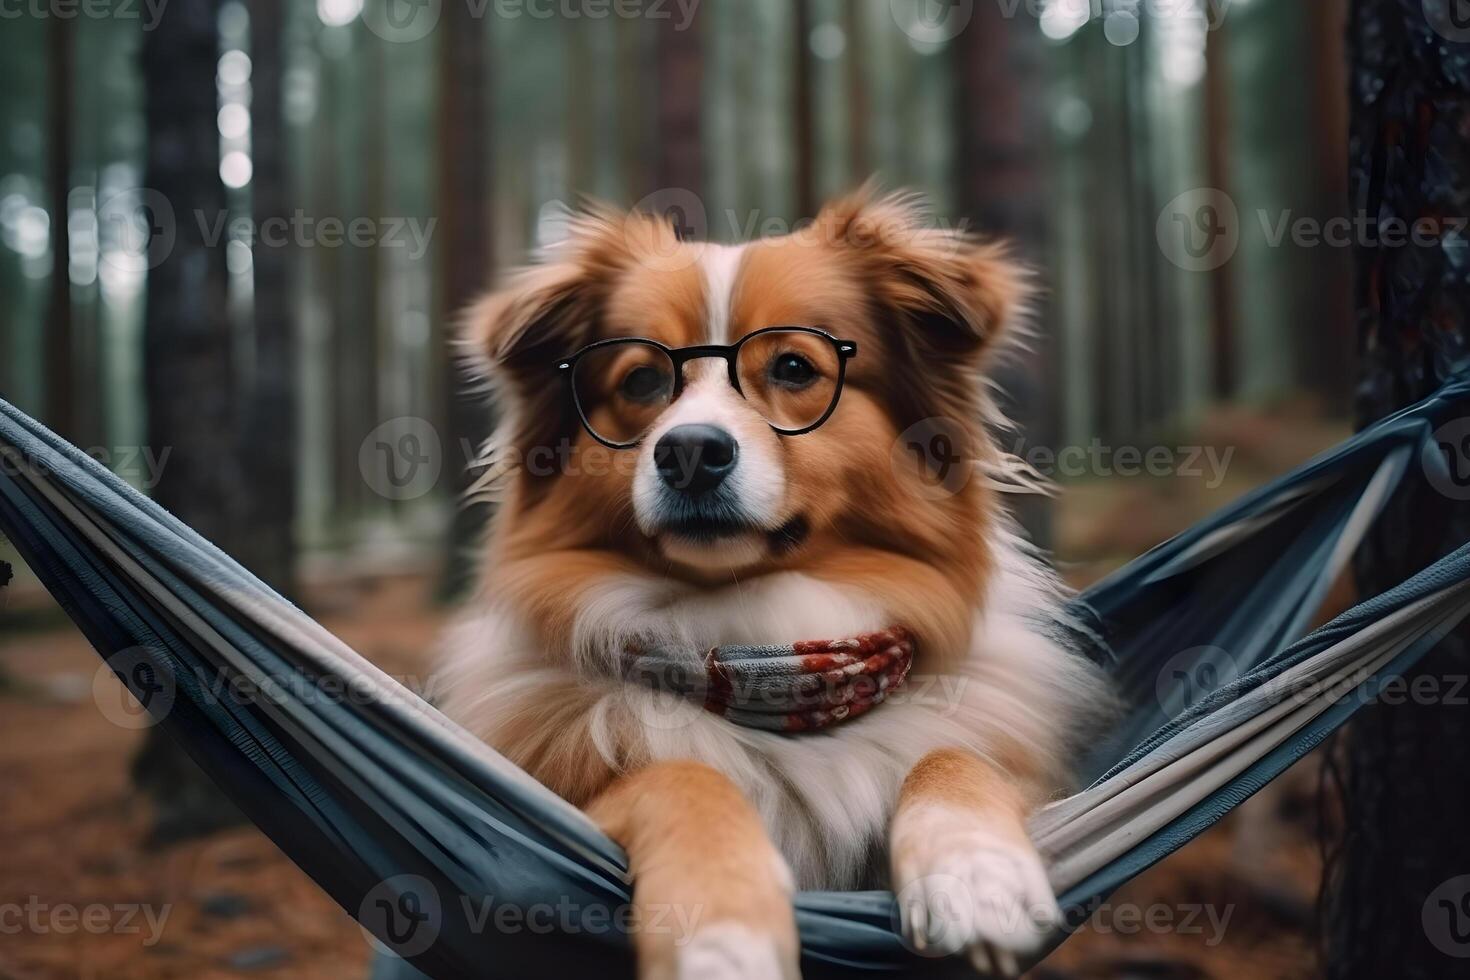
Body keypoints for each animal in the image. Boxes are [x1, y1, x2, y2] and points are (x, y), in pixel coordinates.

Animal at [435, 188, 1111, 975]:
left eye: (792, 367)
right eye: (642, 380)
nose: (689, 452)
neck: (761, 640)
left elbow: (953, 755)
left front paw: (978, 875)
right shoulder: (564, 791)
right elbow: (679, 775)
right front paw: (722, 933)